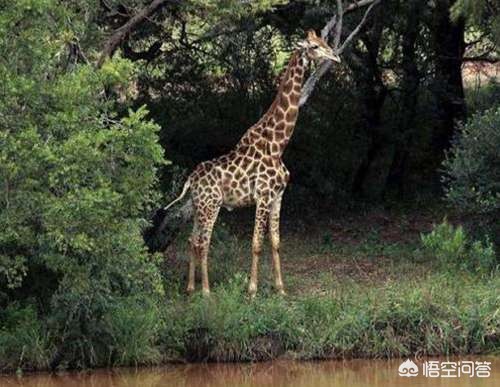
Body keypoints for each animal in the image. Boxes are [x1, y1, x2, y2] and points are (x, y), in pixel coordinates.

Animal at [166, 30, 342, 298]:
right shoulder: (263, 196)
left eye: (325, 42)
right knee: (203, 242)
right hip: (211, 205)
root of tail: (190, 180)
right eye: (314, 46)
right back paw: (206, 291)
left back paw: (190, 287)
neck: (278, 144)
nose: (336, 56)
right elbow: (257, 244)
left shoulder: (278, 196)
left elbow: (276, 242)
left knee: (191, 240)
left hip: (198, 206)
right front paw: (251, 290)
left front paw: (280, 289)